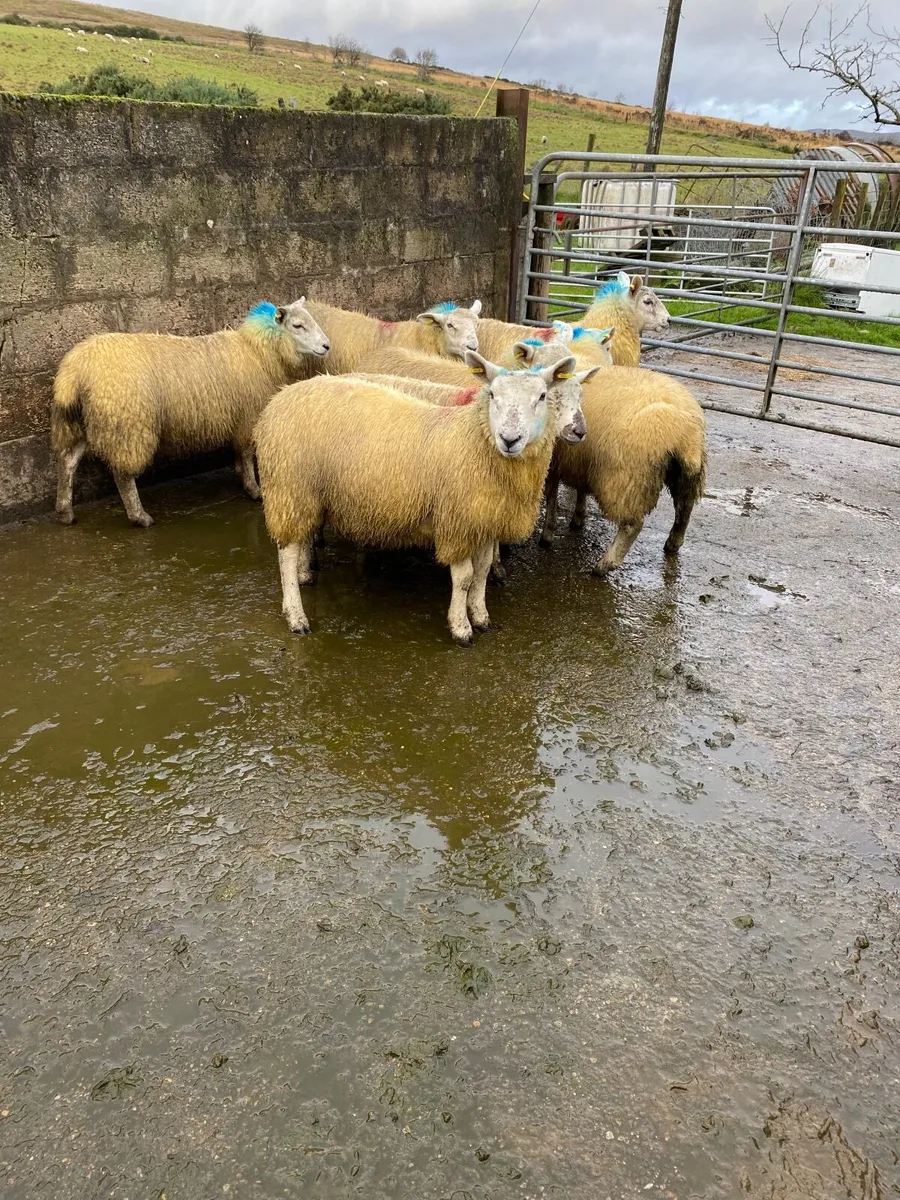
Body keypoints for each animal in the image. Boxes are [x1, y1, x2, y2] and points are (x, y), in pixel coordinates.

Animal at [52, 299, 330, 528]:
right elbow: (246, 452)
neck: (258, 351)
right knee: (122, 474)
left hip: (82, 421)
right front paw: (253, 489)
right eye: (297, 325)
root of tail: (74, 369)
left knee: (68, 461)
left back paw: (65, 512)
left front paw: (240, 474)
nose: (327, 346)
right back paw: (140, 517)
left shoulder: (238, 416)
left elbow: (239, 453)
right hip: (127, 423)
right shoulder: (247, 415)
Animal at [254, 352, 577, 644]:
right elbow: (464, 578)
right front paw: (461, 627)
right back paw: (296, 615)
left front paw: (481, 616)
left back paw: (304, 575)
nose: (510, 439)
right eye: (493, 394)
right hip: (290, 488)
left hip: (308, 495)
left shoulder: (484, 521)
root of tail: (279, 398)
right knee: (286, 554)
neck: (474, 442)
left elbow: (483, 571)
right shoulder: (456, 523)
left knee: (302, 537)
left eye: (542, 396)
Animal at [514, 339, 707, 573]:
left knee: (633, 524)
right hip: (685, 474)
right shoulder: (581, 459)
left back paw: (605, 564)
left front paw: (547, 535)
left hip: (627, 478)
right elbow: (579, 489)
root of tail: (684, 433)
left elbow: (551, 495)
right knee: (684, 507)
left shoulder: (554, 461)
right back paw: (673, 543)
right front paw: (578, 518)